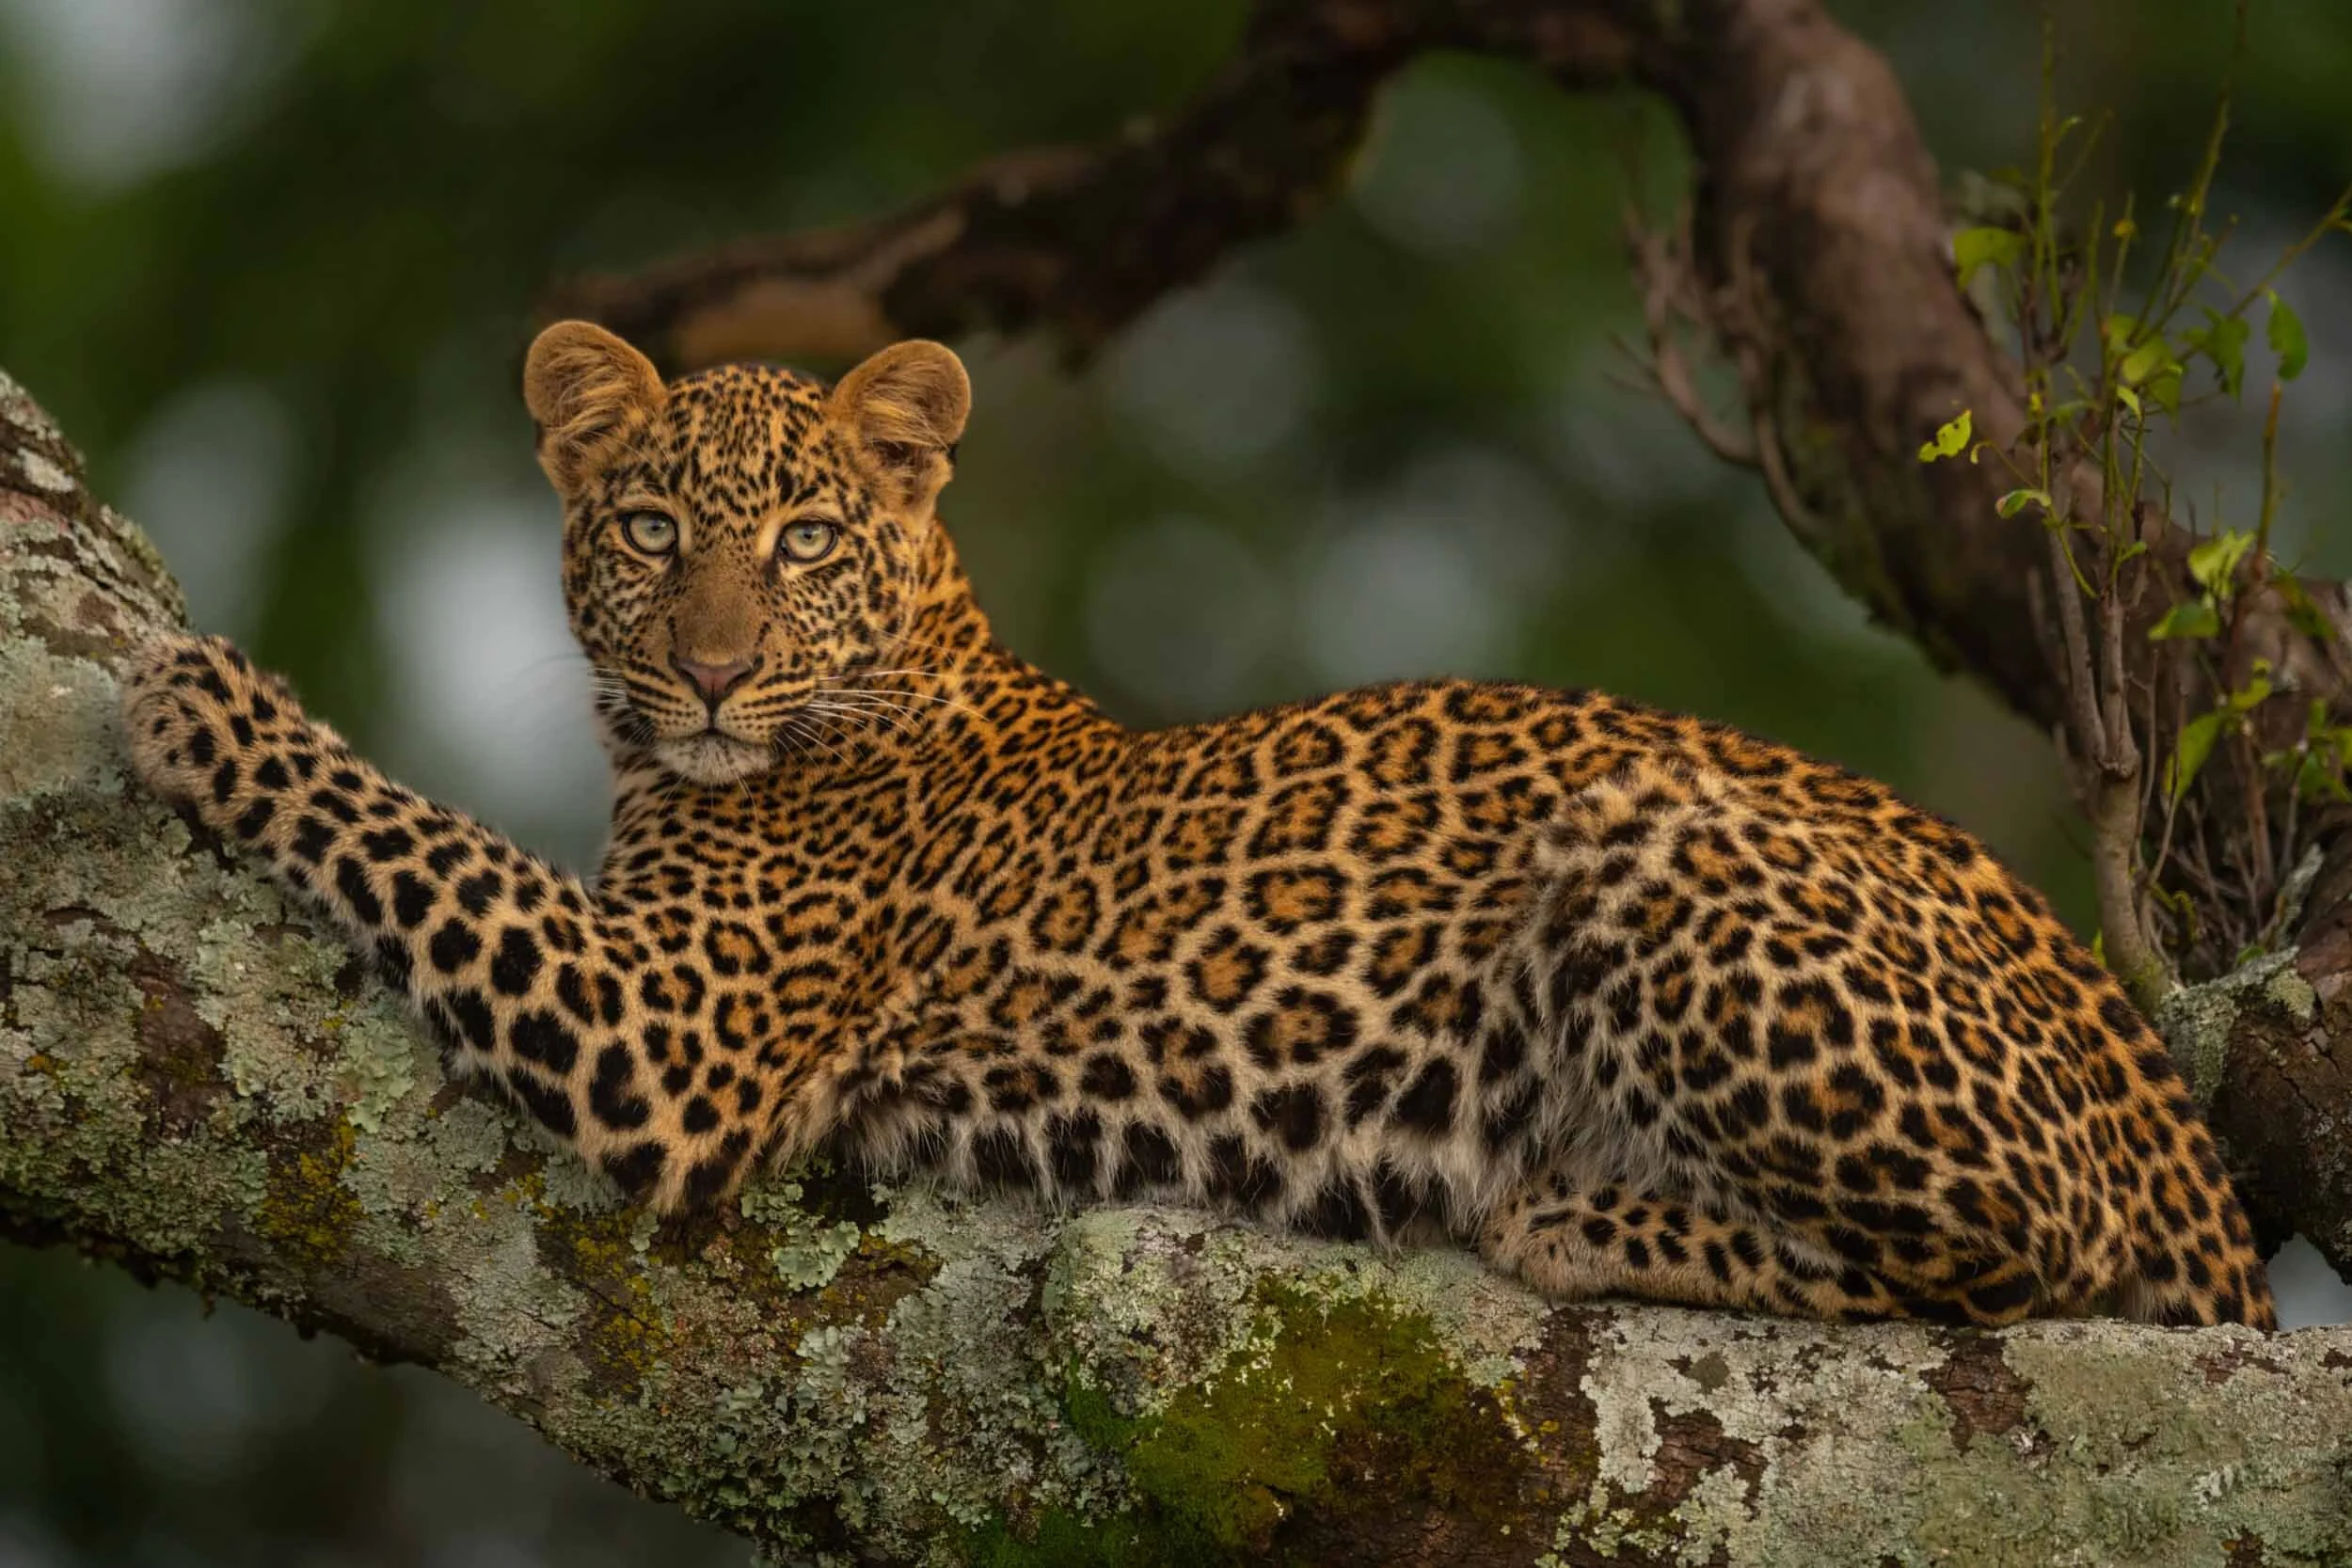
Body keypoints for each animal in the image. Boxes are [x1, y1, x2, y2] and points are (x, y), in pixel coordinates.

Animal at [120, 318, 2275, 1328]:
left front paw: (199, 692)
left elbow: (420, 835)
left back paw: (1572, 1207)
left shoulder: (678, 1033)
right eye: (649, 529)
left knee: (2033, 1247)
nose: (714, 672)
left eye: (801, 539)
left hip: (1649, 837)